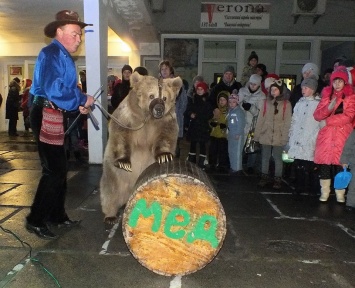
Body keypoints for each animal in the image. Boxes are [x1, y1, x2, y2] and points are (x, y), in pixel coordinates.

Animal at [100, 72, 184, 225]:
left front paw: (164, 155)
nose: (159, 109)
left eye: (164, 98)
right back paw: (110, 215)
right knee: (110, 190)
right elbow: (121, 134)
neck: (148, 118)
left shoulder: (166, 121)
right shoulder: (129, 117)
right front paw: (124, 162)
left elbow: (166, 136)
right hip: (113, 173)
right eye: (151, 95)